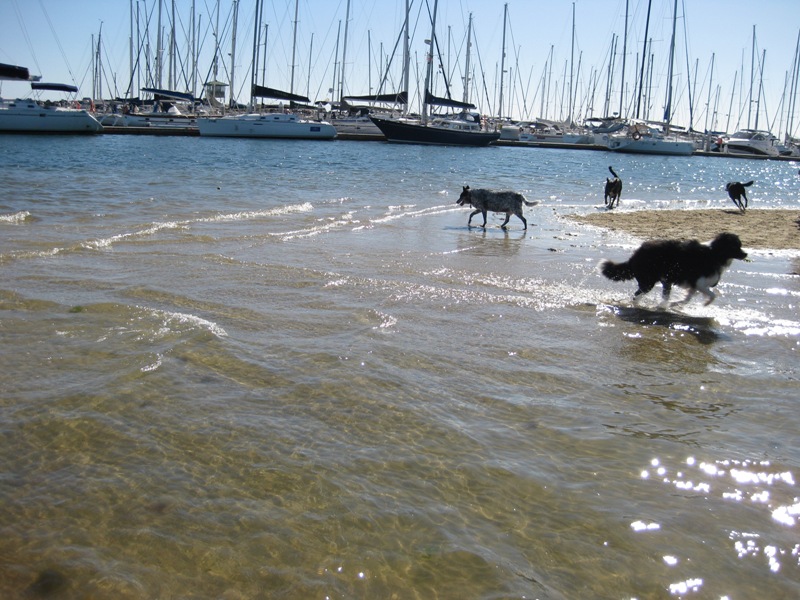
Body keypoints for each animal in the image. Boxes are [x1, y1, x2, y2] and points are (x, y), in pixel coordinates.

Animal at [600, 232, 752, 308]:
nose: (745, 254)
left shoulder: (695, 285)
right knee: (637, 295)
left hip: (664, 280)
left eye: (740, 245)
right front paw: (706, 302)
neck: (714, 253)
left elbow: (689, 298)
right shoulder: (699, 282)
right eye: (735, 246)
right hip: (649, 281)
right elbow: (712, 295)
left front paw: (676, 304)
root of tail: (634, 256)